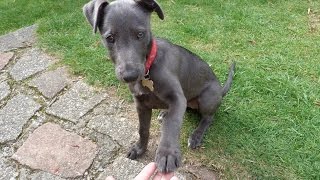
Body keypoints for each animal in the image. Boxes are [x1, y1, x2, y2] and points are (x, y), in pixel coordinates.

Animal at [83, 0, 235, 172]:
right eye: (110, 38)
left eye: (140, 34)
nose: (130, 76)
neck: (148, 69)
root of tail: (221, 90)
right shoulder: (141, 104)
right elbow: (143, 129)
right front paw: (139, 149)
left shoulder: (178, 98)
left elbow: (172, 123)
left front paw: (167, 153)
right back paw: (164, 112)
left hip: (207, 98)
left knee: (208, 118)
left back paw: (196, 135)